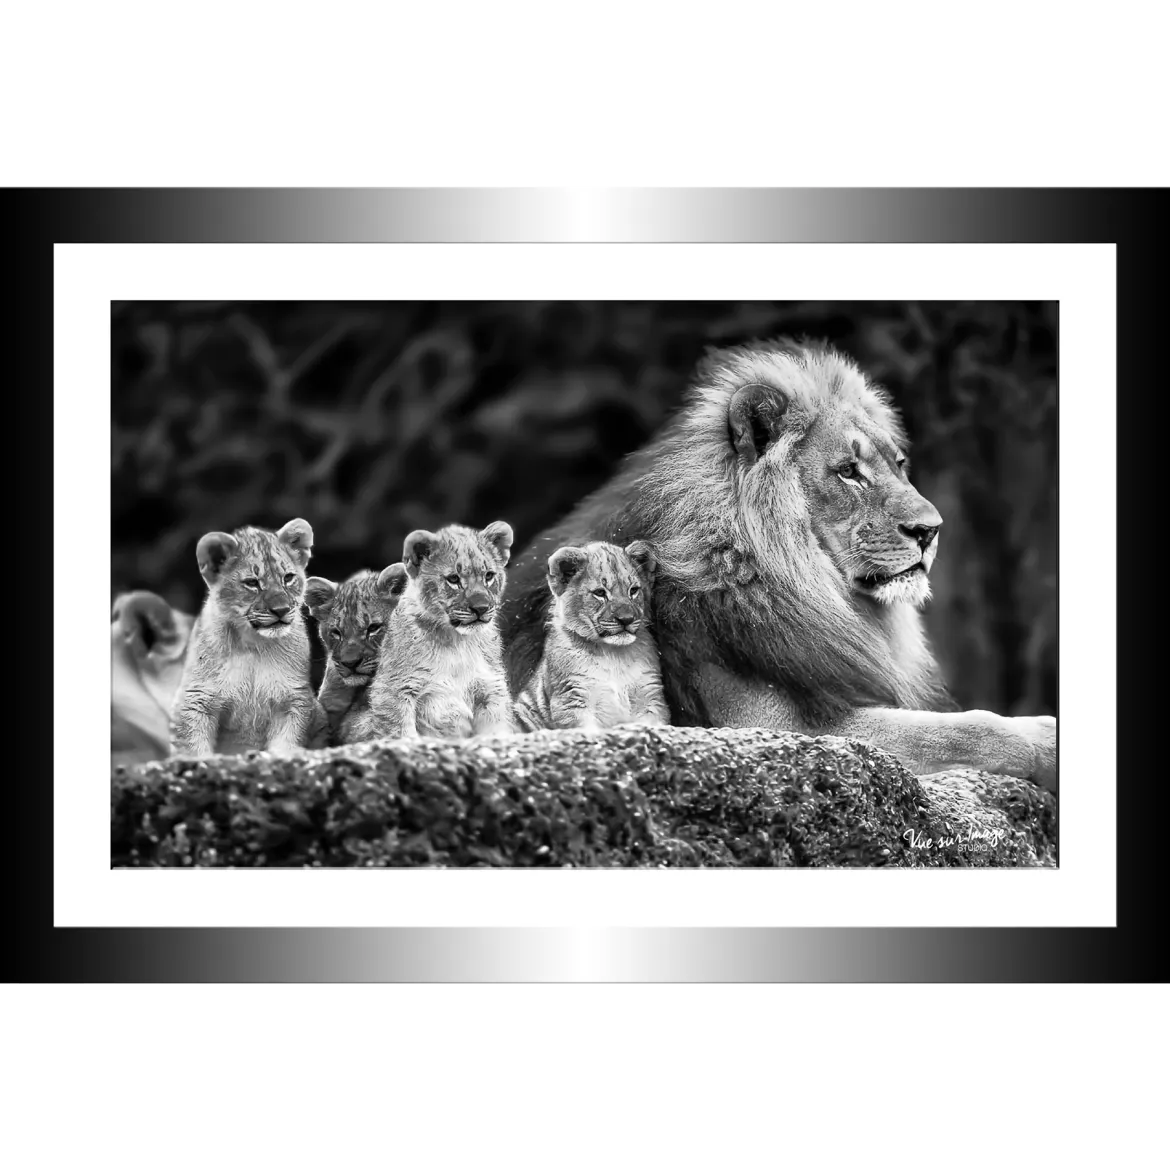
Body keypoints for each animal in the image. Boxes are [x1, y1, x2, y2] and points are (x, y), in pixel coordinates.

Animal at [169, 518, 323, 757]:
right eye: (252, 582)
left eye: (288, 578)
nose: (281, 609)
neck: (253, 644)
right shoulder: (196, 698)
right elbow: (192, 745)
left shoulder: (293, 697)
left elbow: (287, 739)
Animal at [347, 521, 517, 743]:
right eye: (453, 579)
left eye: (488, 576)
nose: (481, 608)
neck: (458, 642)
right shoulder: (394, 691)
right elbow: (401, 734)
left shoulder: (490, 690)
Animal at [513, 540, 671, 732]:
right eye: (600, 593)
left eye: (633, 590)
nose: (626, 619)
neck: (613, 654)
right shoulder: (572, 698)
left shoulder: (650, 695)